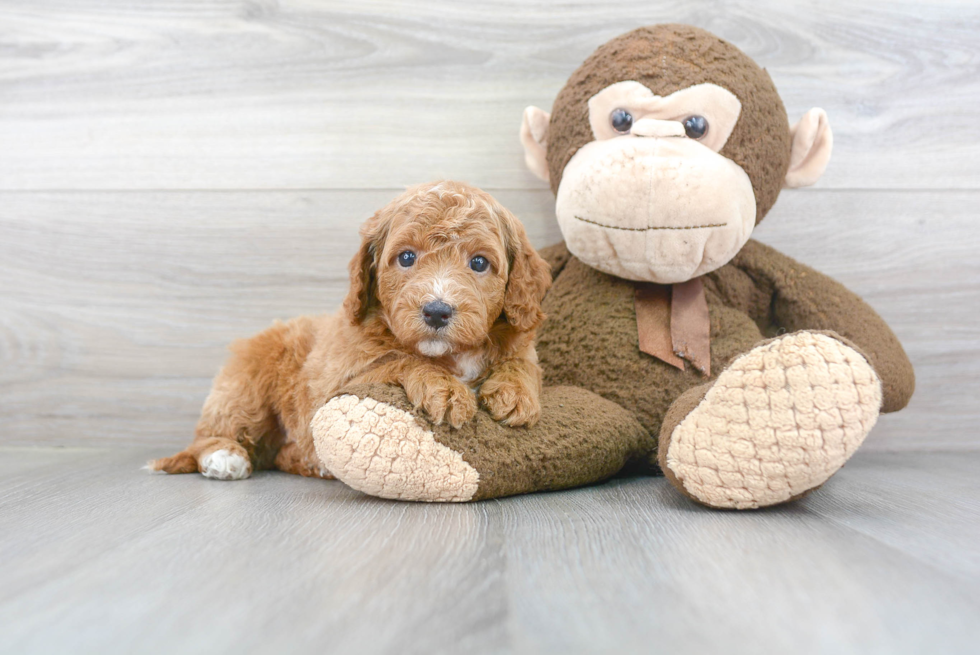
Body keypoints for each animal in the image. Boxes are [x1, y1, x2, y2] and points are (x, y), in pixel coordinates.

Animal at [150, 182, 556, 480]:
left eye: (479, 263)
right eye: (406, 257)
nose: (437, 311)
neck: (449, 353)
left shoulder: (521, 344)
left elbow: (522, 361)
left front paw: (515, 393)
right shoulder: (341, 377)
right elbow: (397, 360)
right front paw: (444, 389)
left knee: (279, 454)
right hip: (245, 385)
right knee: (211, 433)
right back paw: (223, 456)